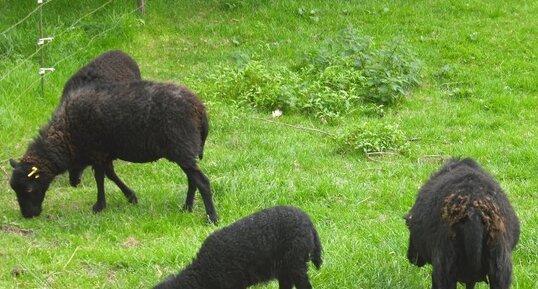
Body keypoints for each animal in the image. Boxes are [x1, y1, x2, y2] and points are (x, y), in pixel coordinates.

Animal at [7, 80, 214, 222]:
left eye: (28, 188)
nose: (28, 215)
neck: (65, 135)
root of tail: (200, 109)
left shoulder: (97, 151)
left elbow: (100, 178)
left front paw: (99, 206)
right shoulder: (104, 153)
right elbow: (111, 175)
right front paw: (131, 196)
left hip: (181, 147)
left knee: (202, 182)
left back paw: (211, 217)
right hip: (184, 151)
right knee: (192, 180)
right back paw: (186, 208)